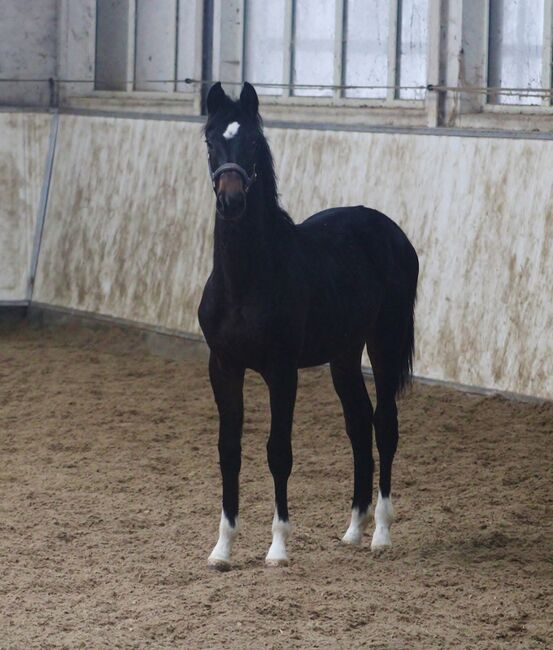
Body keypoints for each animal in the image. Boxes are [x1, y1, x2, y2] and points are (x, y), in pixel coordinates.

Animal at [198, 82, 418, 568]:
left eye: (253, 142)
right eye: (210, 141)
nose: (231, 201)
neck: (246, 280)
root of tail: (392, 232)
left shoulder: (282, 371)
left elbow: (278, 452)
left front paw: (278, 548)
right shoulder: (223, 366)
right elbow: (228, 451)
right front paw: (222, 548)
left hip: (384, 340)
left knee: (384, 425)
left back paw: (381, 534)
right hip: (344, 353)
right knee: (358, 425)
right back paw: (353, 530)